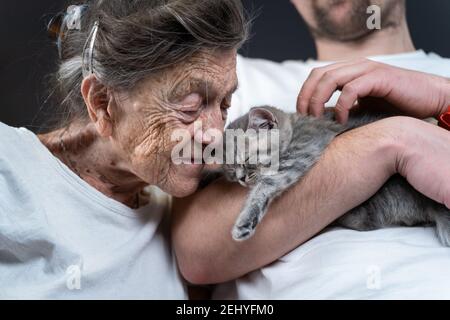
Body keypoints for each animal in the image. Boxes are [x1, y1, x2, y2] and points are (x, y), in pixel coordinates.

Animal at [223, 106, 450, 244]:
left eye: (247, 160)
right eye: (231, 172)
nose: (241, 179)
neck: (296, 127)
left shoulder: (301, 152)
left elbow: (267, 184)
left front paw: (245, 220)